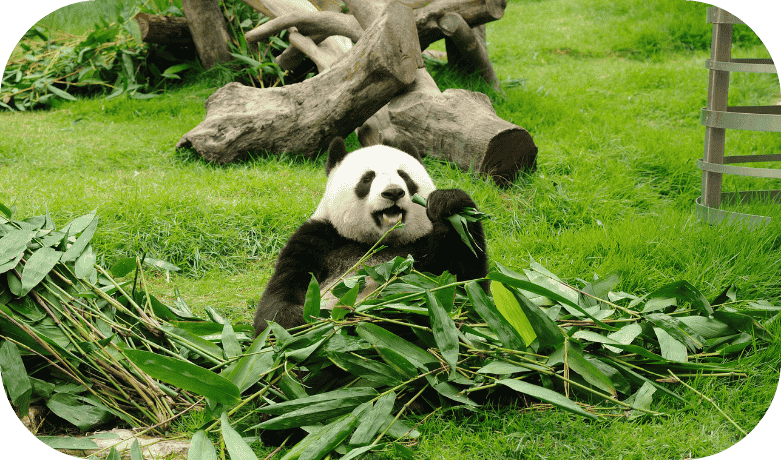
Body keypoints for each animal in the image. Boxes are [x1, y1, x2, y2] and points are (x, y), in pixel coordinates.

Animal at [252, 137, 488, 334]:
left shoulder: (422, 247)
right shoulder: (319, 239)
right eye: (367, 178)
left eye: (404, 176)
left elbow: (465, 289)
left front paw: (450, 204)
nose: (393, 192)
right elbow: (277, 302)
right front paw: (302, 321)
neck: (378, 242)